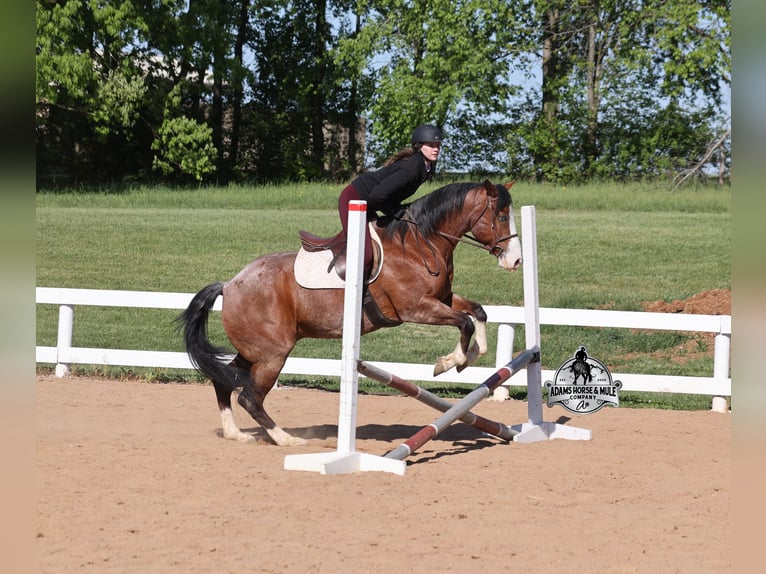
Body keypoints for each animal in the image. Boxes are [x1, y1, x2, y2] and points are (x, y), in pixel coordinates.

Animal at [177, 180, 523, 446]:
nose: (516, 261)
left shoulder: (444, 298)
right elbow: (464, 322)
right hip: (272, 353)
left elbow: (478, 313)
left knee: (224, 379)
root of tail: (230, 283)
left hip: (254, 351)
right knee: (249, 397)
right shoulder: (416, 308)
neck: (420, 244)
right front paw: (450, 363)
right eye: (501, 216)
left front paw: (472, 356)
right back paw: (287, 439)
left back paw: (235, 433)